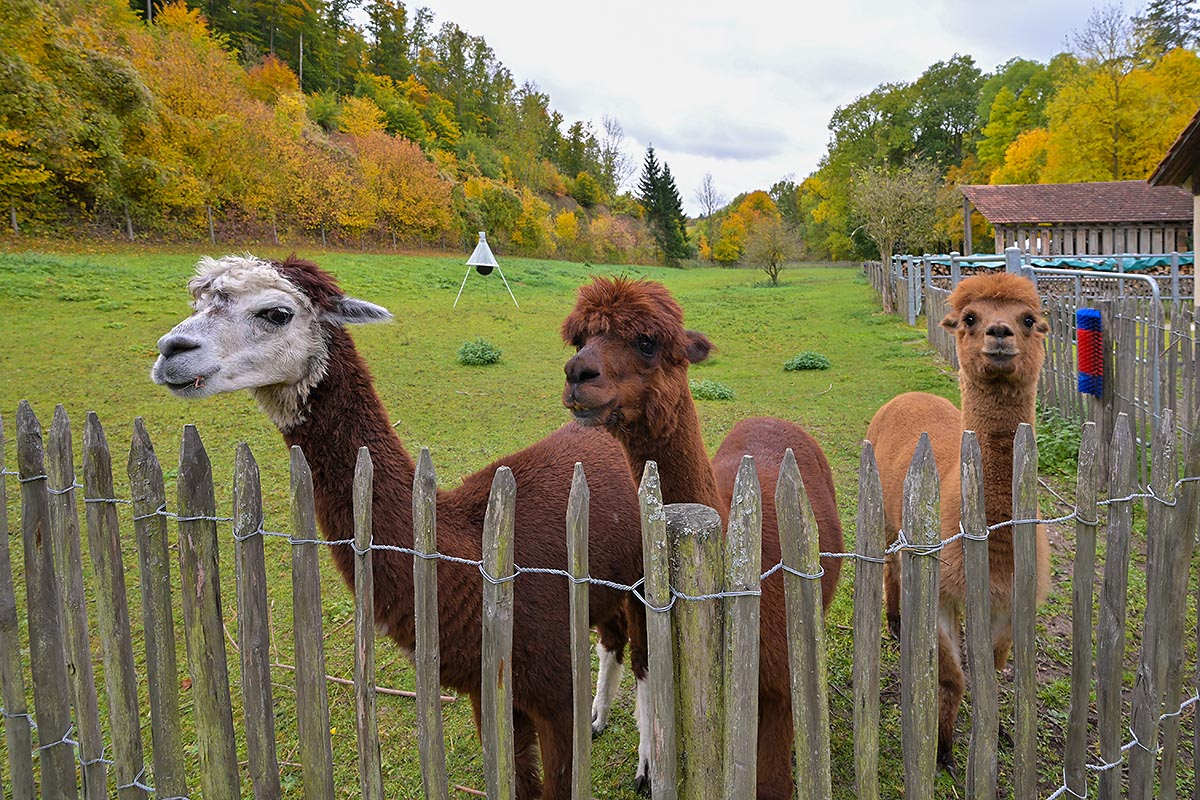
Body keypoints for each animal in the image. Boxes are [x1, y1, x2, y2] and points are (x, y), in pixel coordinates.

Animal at [150, 254, 648, 800]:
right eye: (197, 301)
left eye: (276, 313)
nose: (171, 350)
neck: (469, 548)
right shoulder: (487, 690)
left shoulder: (554, 693)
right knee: (613, 636)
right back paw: (600, 716)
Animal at [560, 276, 844, 800]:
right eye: (579, 339)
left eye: (647, 342)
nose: (577, 373)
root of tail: (771, 417)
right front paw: (649, 765)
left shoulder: (776, 685)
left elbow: (772, 780)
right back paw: (597, 719)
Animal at [866, 270, 1051, 771]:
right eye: (969, 318)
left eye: (1029, 319)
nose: (999, 332)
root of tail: (910, 394)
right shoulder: (941, 591)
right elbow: (953, 677)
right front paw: (943, 750)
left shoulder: (1008, 600)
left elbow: (994, 670)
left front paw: (1000, 731)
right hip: (888, 515)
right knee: (891, 563)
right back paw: (894, 621)